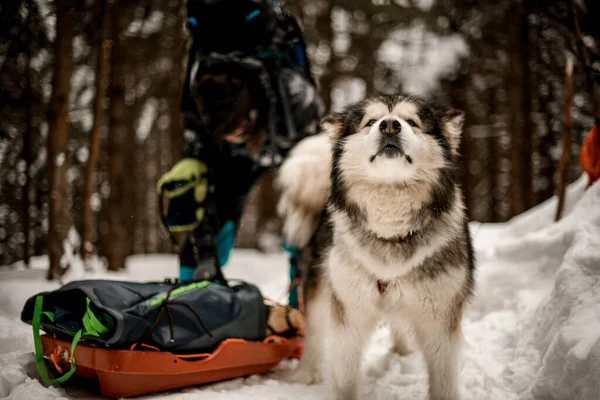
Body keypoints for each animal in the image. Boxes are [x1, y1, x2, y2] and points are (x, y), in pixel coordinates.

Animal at [276, 92, 474, 398]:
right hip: (321, 284)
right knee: (315, 333)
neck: (391, 233)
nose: (390, 125)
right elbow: (344, 375)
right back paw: (306, 373)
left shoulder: (440, 319)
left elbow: (443, 381)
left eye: (411, 121)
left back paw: (402, 350)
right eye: (370, 121)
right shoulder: (349, 311)